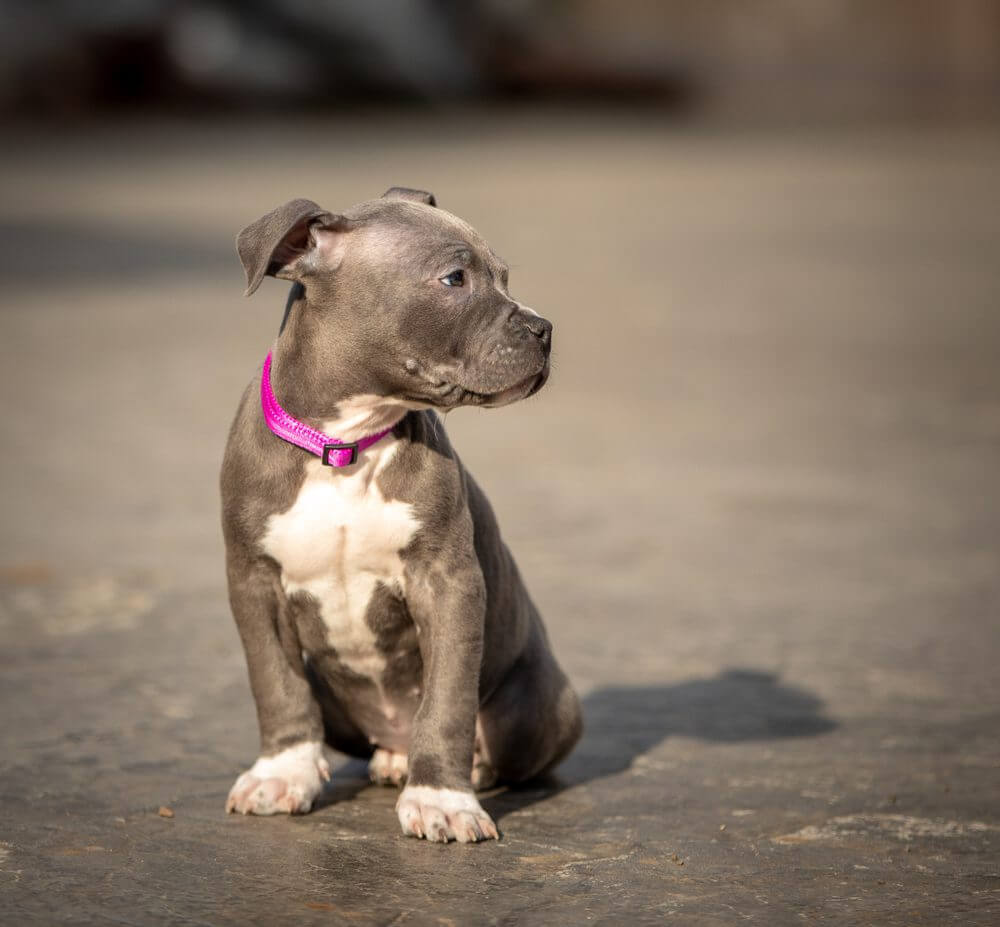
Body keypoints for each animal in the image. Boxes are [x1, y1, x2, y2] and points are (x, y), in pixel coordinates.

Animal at [219, 187, 580, 840]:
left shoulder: (448, 581)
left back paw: (457, 766)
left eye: (505, 276)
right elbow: (274, 681)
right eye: (455, 278)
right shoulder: (252, 579)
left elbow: (448, 701)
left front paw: (442, 798)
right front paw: (282, 772)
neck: (345, 444)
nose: (544, 329)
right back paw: (388, 758)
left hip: (535, 707)